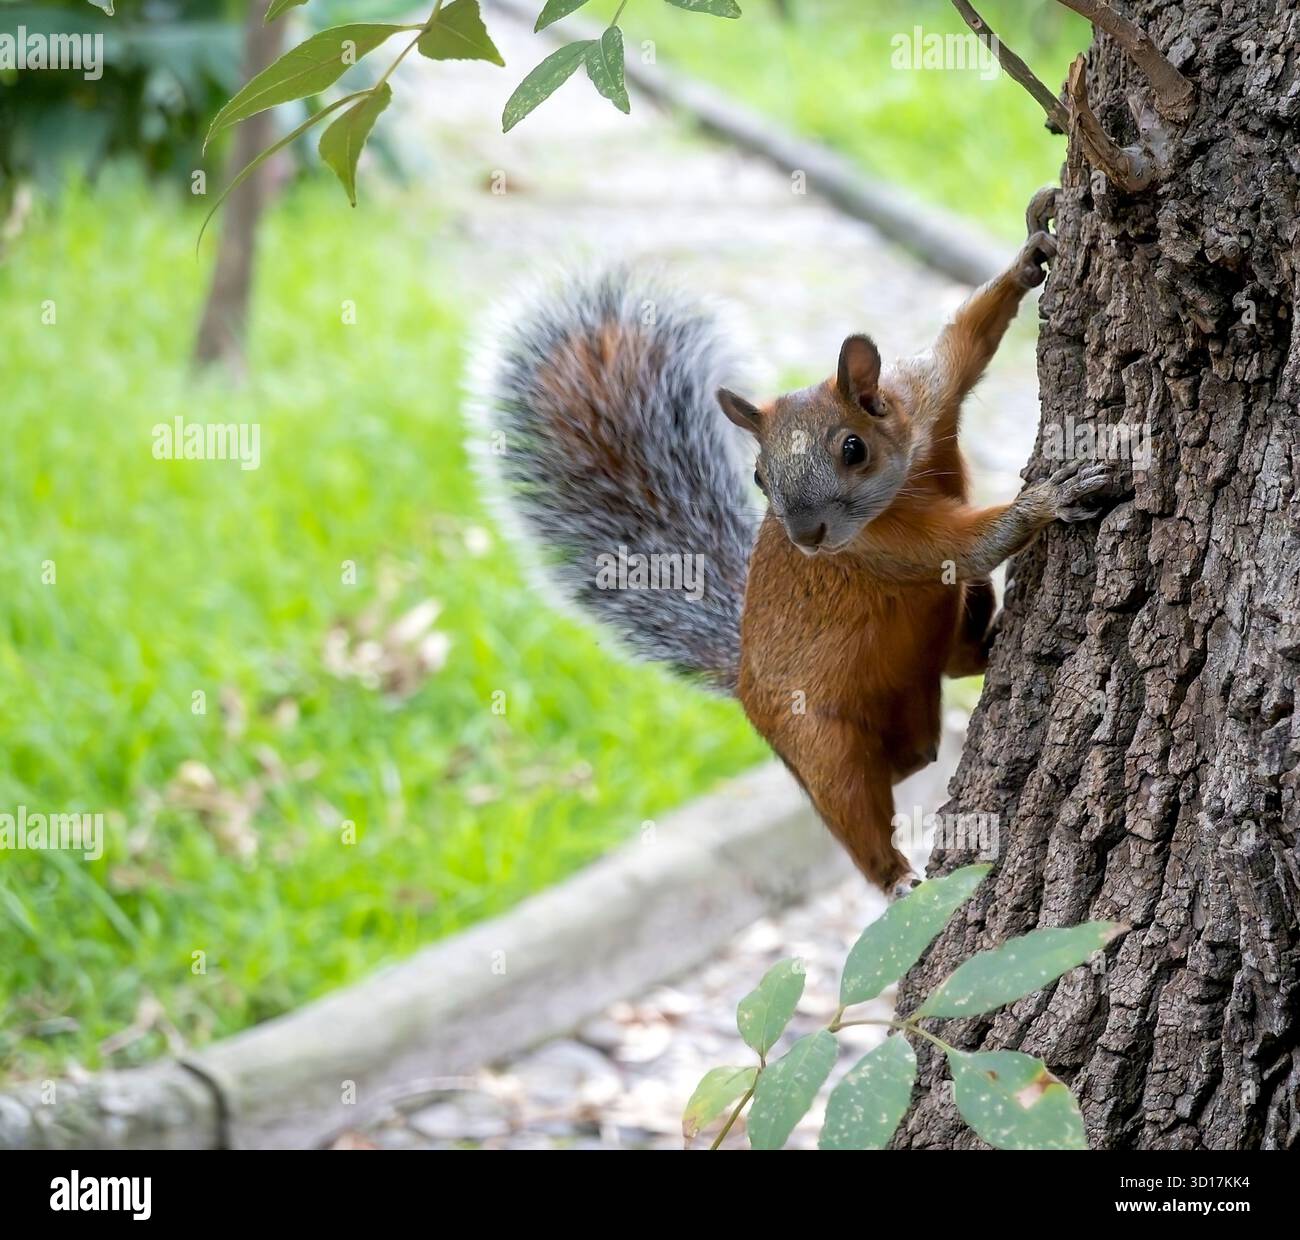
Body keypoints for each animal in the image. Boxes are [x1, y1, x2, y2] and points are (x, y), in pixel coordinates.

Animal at [473, 189, 1113, 896]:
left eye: (853, 448)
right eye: (758, 476)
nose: (807, 539)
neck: (904, 473)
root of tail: (743, 683)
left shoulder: (925, 396)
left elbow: (967, 339)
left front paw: (1031, 251)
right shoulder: (881, 548)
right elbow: (969, 545)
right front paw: (1048, 497)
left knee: (948, 673)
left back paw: (985, 650)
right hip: (817, 743)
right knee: (855, 811)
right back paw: (897, 878)